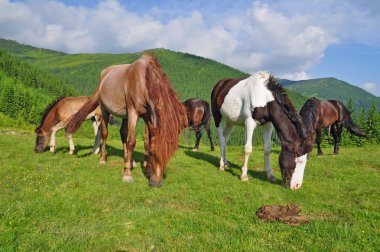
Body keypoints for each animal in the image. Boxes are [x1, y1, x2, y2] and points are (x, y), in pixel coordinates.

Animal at [67, 53, 189, 187]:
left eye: (169, 154)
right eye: (153, 153)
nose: (156, 183)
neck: (143, 81)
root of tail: (103, 75)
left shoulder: (147, 116)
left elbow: (146, 142)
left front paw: (145, 168)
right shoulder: (133, 113)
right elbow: (132, 142)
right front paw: (127, 175)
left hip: (125, 116)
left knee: (123, 133)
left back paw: (128, 161)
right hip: (105, 110)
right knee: (105, 133)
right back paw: (104, 160)